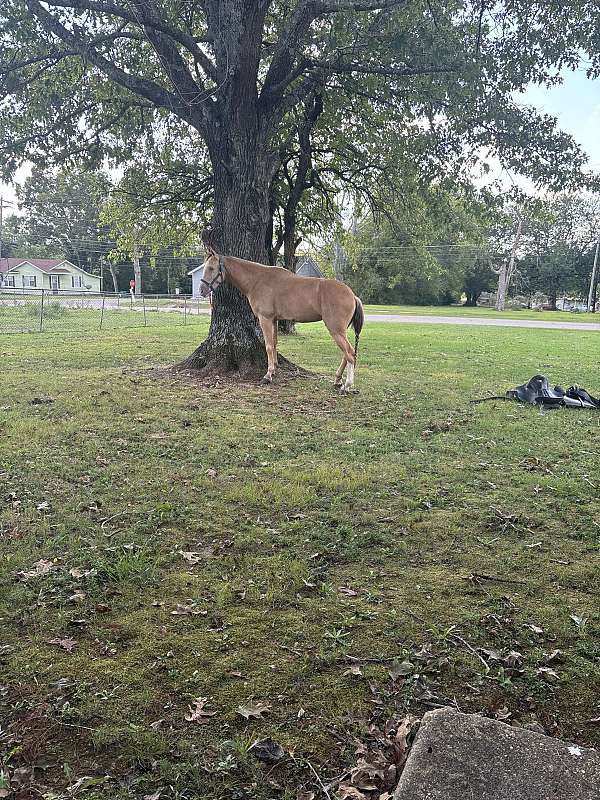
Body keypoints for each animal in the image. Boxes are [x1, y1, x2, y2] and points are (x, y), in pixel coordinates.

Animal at [199, 247, 364, 390]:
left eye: (211, 268)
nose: (202, 290)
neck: (258, 280)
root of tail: (353, 295)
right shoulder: (274, 320)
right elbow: (275, 344)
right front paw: (274, 370)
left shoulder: (265, 319)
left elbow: (268, 346)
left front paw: (267, 376)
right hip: (340, 331)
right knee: (347, 353)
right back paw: (337, 380)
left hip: (335, 329)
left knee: (349, 353)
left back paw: (347, 385)